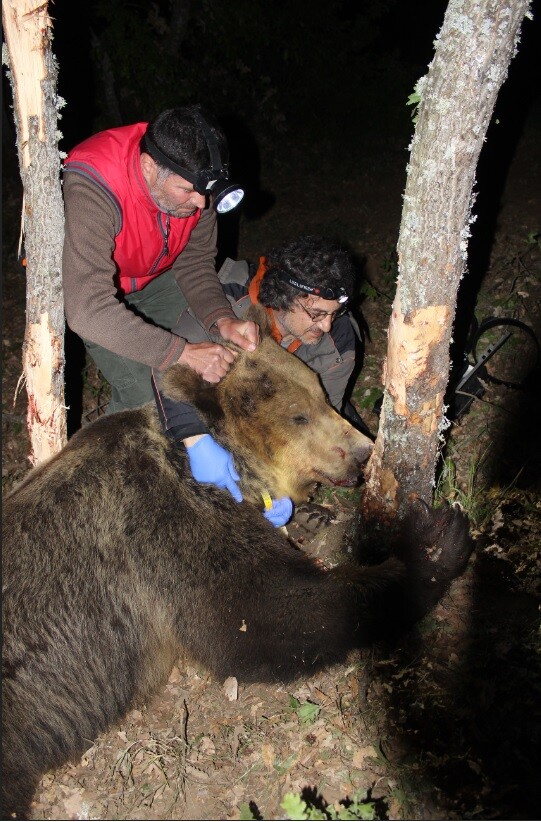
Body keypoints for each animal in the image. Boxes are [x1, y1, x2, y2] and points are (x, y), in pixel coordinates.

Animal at [2, 308, 470, 816]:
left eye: (323, 395)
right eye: (298, 414)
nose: (365, 452)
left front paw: (312, 516)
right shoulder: (164, 526)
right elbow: (261, 617)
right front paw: (432, 540)